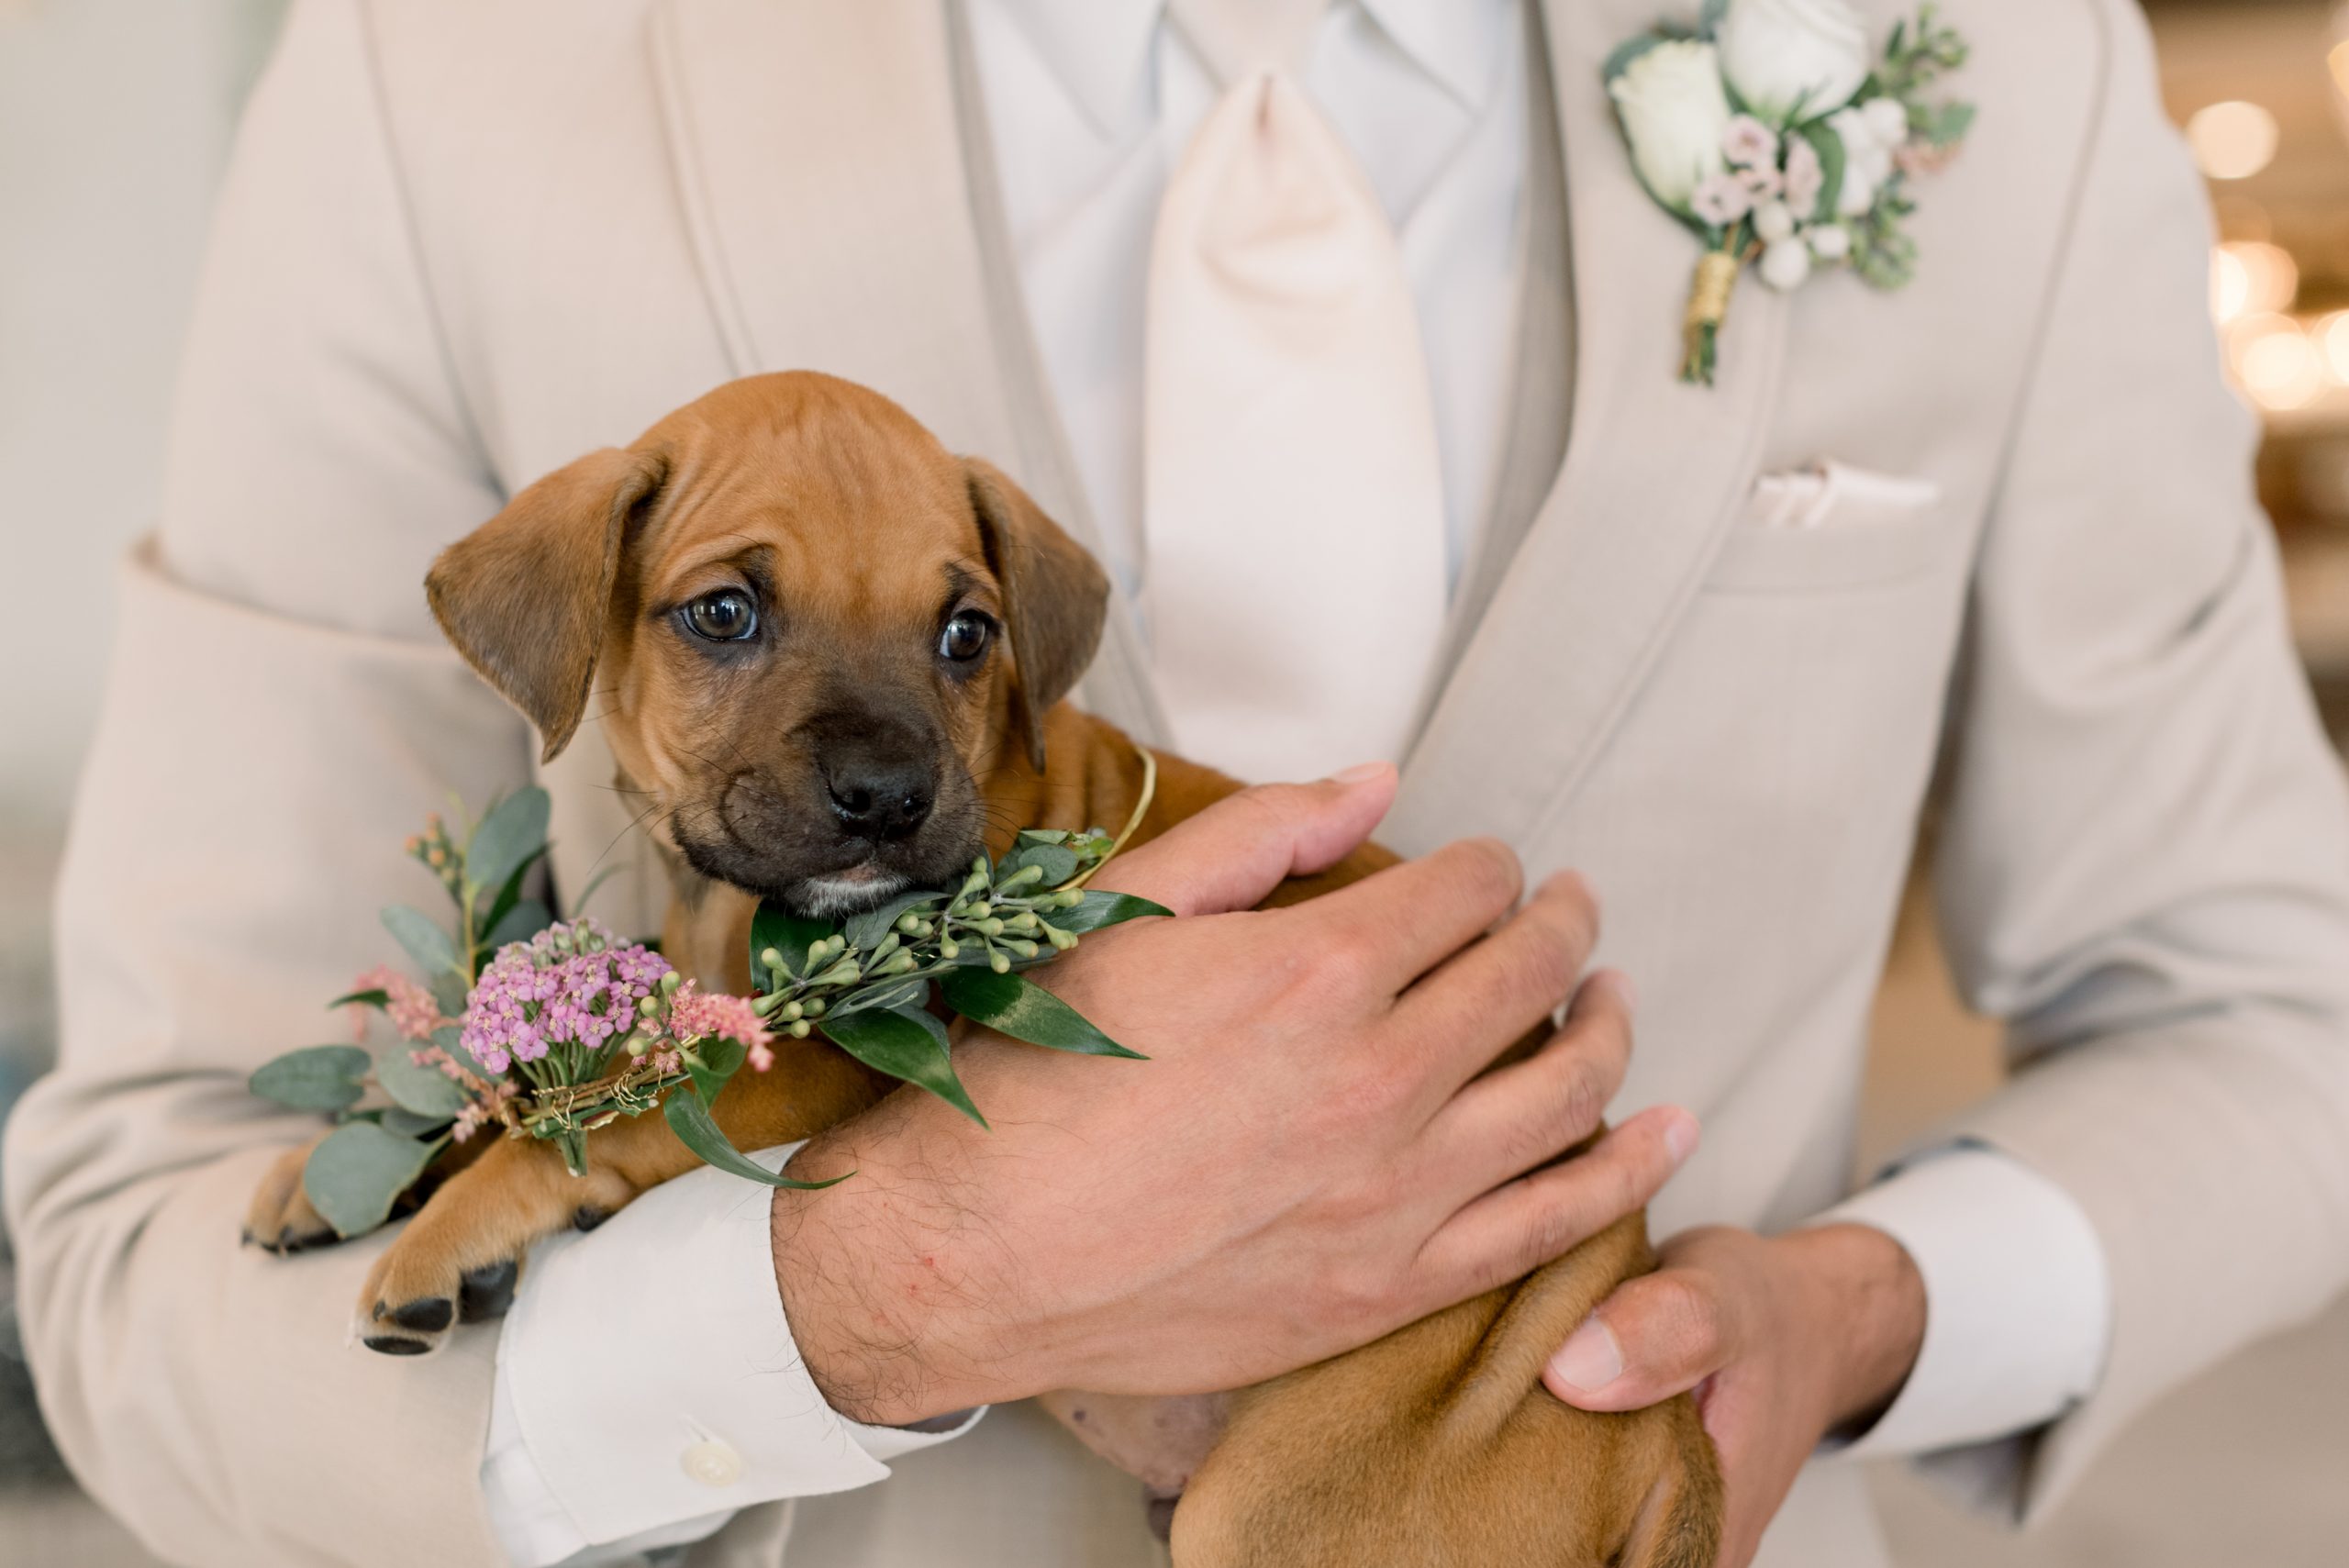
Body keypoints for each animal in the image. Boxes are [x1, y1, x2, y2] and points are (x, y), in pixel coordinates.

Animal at [252, 373, 1729, 1558]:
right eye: (723, 613)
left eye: (967, 633)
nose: (887, 796)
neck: (735, 913)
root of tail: (1659, 1436)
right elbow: (563, 1068)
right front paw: (346, 1166)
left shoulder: (825, 1061)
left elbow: (633, 1094)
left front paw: (454, 1218)